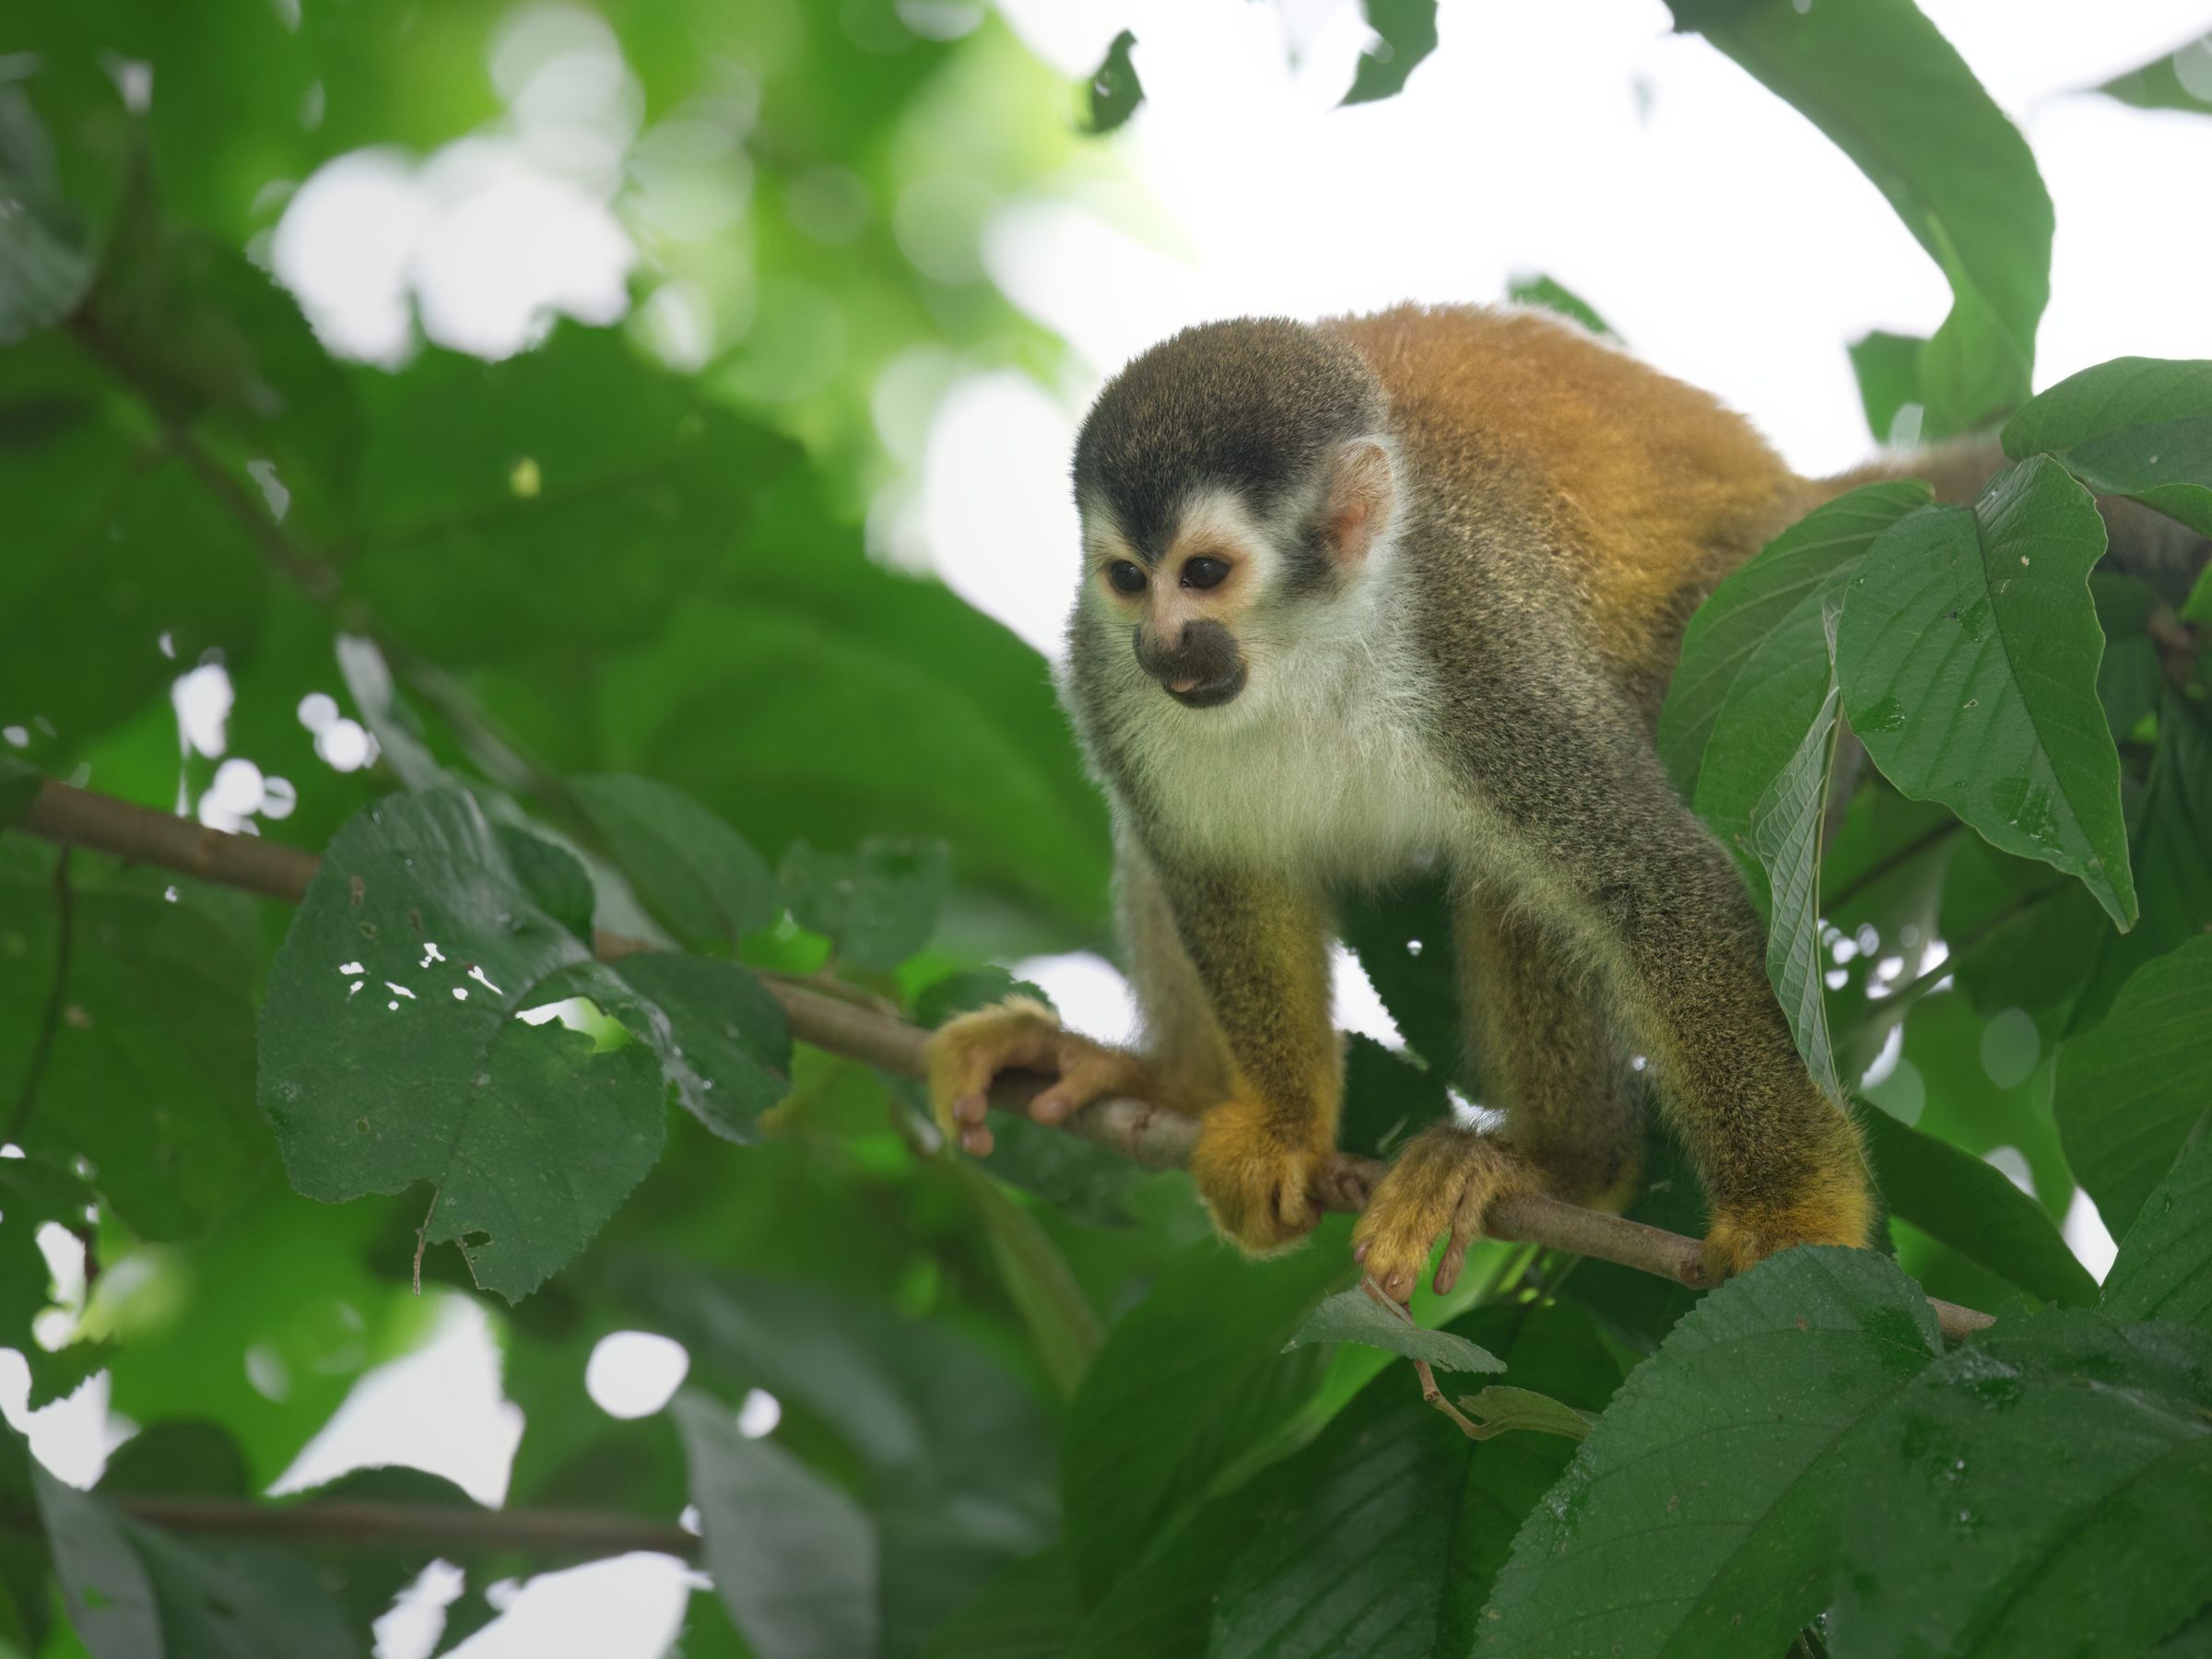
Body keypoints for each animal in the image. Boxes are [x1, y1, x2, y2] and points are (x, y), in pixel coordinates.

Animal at [915, 305, 2176, 1309]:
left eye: (1207, 574)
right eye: (1130, 577)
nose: (1168, 645)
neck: (1310, 647)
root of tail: (1801, 495)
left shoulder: (1481, 645)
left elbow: (1660, 886)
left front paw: (1797, 1222)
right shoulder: (1101, 674)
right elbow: (1207, 865)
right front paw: (1274, 1120)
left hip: (1740, 632)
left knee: (1528, 880)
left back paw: (1565, 1167)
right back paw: (1171, 1082)